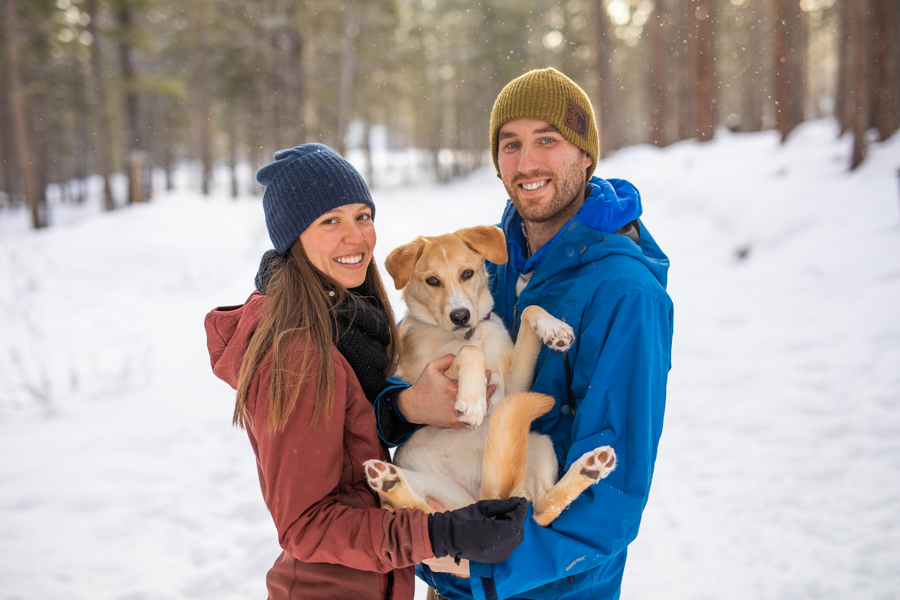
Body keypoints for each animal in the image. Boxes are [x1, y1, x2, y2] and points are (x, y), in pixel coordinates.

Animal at [362, 224, 616, 524]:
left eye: (467, 273)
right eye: (432, 281)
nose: (460, 316)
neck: (468, 334)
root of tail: (482, 497)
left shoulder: (514, 388)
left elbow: (529, 311)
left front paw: (554, 328)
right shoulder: (431, 372)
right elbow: (469, 352)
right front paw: (473, 402)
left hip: (537, 441)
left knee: (543, 509)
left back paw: (591, 467)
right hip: (430, 486)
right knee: (426, 514)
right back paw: (388, 481)